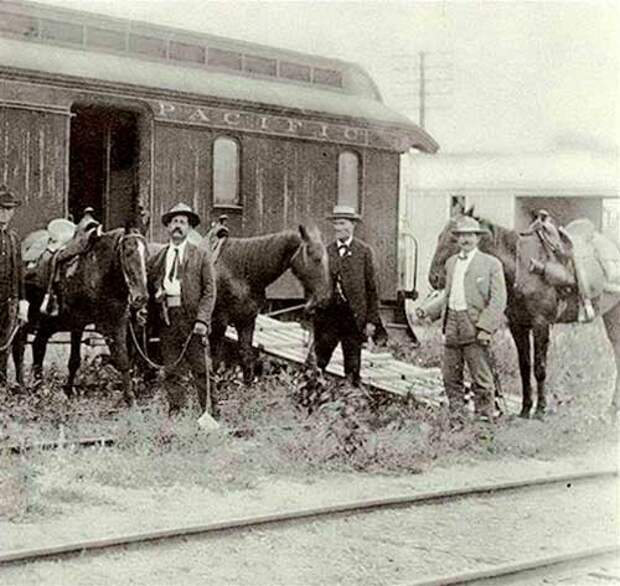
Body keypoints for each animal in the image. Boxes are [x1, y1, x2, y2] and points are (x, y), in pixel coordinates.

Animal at [12, 218, 150, 402]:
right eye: (128, 252)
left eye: (146, 254)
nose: (141, 298)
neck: (95, 270)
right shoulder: (77, 323)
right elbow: (74, 360)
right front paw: (68, 391)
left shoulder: (117, 321)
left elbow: (122, 358)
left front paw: (129, 399)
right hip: (25, 320)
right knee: (19, 349)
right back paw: (21, 387)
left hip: (48, 323)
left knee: (38, 346)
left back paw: (38, 388)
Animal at [428, 208, 616, 418]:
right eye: (439, 236)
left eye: (454, 239)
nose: (434, 277)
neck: (522, 268)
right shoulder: (518, 325)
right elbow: (524, 367)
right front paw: (525, 408)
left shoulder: (541, 323)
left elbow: (540, 367)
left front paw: (541, 409)